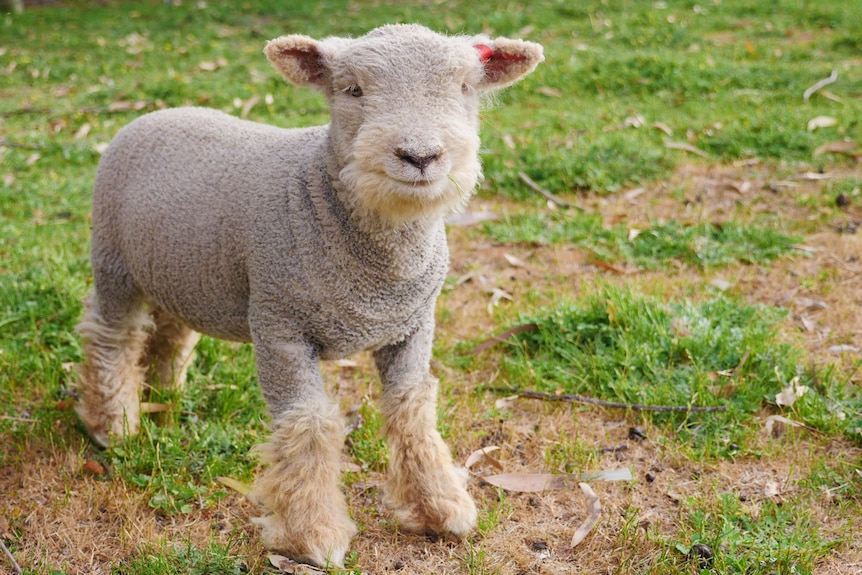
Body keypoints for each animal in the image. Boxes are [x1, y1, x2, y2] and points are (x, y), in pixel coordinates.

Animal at [76, 25, 548, 568]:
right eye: (353, 89)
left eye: (466, 88)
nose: (420, 156)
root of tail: (154, 113)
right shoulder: (279, 325)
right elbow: (308, 426)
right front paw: (313, 533)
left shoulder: (412, 326)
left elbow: (411, 409)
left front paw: (440, 506)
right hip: (114, 263)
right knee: (111, 337)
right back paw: (114, 423)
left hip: (182, 270)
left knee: (170, 329)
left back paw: (165, 391)